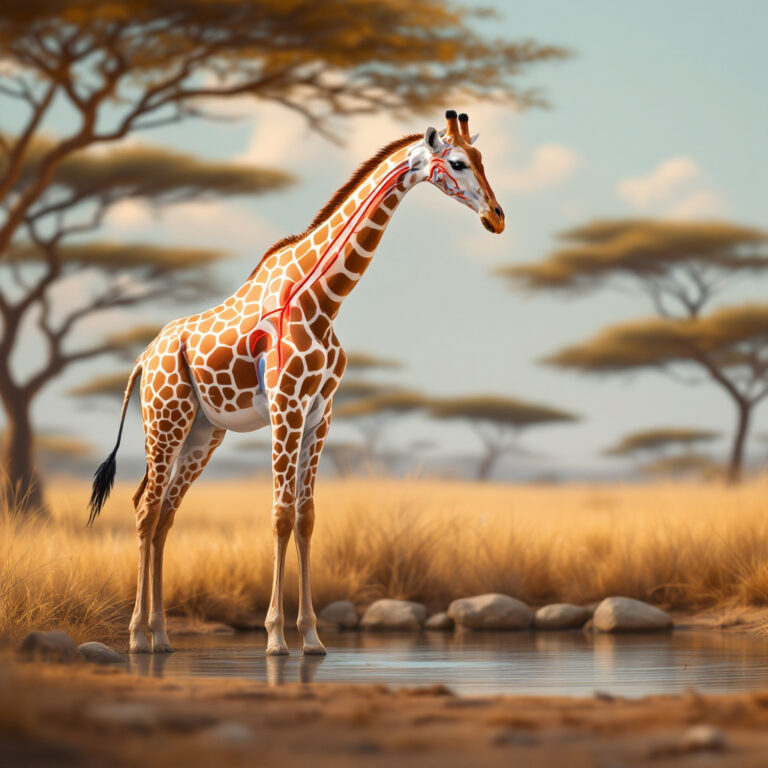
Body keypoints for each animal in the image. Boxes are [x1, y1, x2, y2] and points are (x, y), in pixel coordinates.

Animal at [88, 110, 504, 656]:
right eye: (457, 162)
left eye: (481, 157)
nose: (497, 217)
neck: (322, 298)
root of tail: (142, 358)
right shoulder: (286, 405)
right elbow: (280, 515)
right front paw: (275, 638)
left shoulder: (320, 412)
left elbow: (306, 518)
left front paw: (312, 636)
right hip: (165, 418)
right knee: (145, 508)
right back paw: (137, 636)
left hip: (204, 431)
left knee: (163, 514)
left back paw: (161, 635)